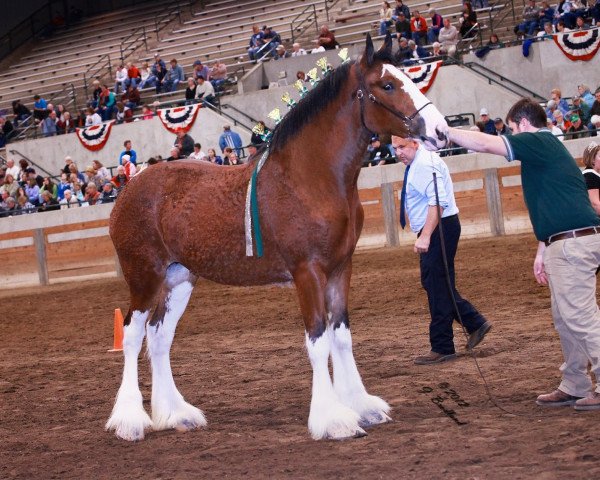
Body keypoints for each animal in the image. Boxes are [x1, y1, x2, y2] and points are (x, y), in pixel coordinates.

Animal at [108, 34, 448, 442]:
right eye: (387, 85)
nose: (441, 130)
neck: (309, 178)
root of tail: (128, 188)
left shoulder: (340, 269)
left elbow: (341, 336)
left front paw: (362, 406)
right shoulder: (308, 273)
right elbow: (317, 340)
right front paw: (333, 419)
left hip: (180, 278)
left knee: (159, 337)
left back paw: (176, 414)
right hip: (144, 276)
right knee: (132, 336)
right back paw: (130, 421)